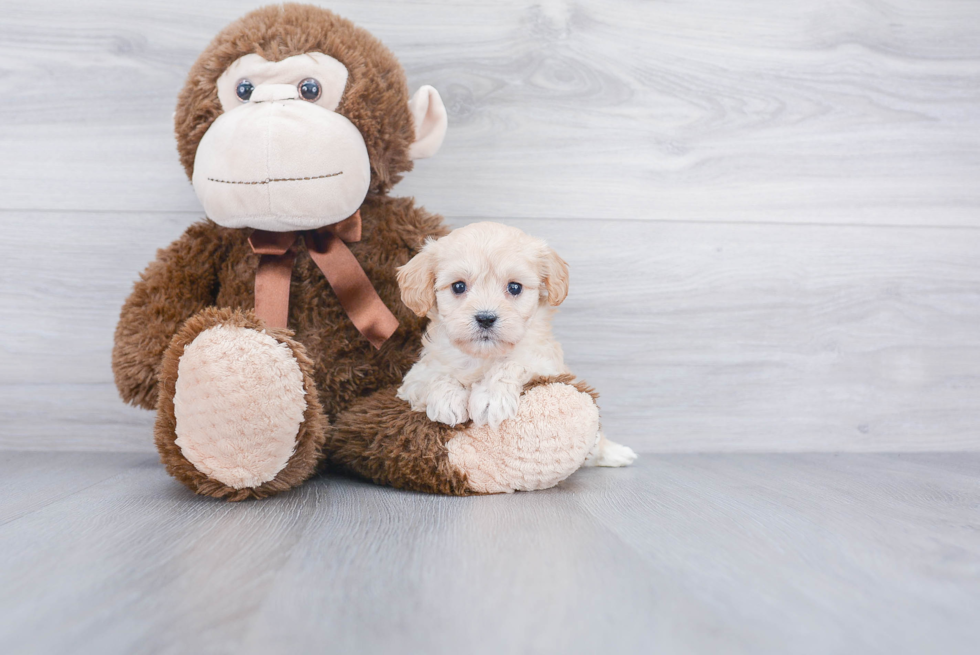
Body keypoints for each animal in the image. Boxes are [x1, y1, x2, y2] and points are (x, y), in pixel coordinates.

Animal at [396, 223, 636, 468]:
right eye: (459, 286)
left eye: (514, 287)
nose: (485, 318)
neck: (483, 357)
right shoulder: (414, 378)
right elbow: (435, 375)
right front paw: (448, 400)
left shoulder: (546, 364)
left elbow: (513, 363)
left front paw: (491, 397)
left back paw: (616, 453)